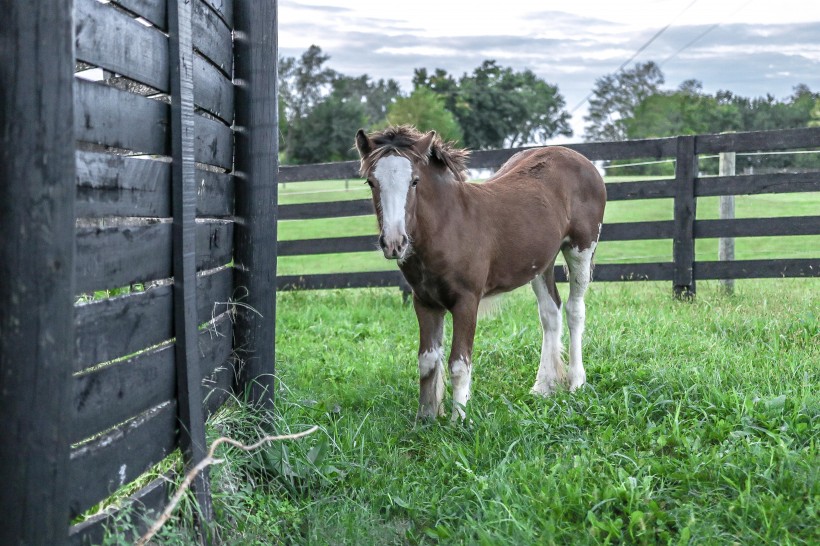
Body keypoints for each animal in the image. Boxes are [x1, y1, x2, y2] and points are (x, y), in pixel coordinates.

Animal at [356, 125, 604, 418]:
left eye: (414, 181)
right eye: (371, 182)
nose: (394, 243)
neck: (449, 226)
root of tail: (581, 160)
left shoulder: (466, 301)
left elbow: (459, 363)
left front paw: (459, 419)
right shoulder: (424, 301)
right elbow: (427, 361)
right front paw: (426, 418)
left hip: (582, 248)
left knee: (575, 309)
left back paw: (577, 382)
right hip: (541, 260)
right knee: (550, 312)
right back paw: (543, 387)